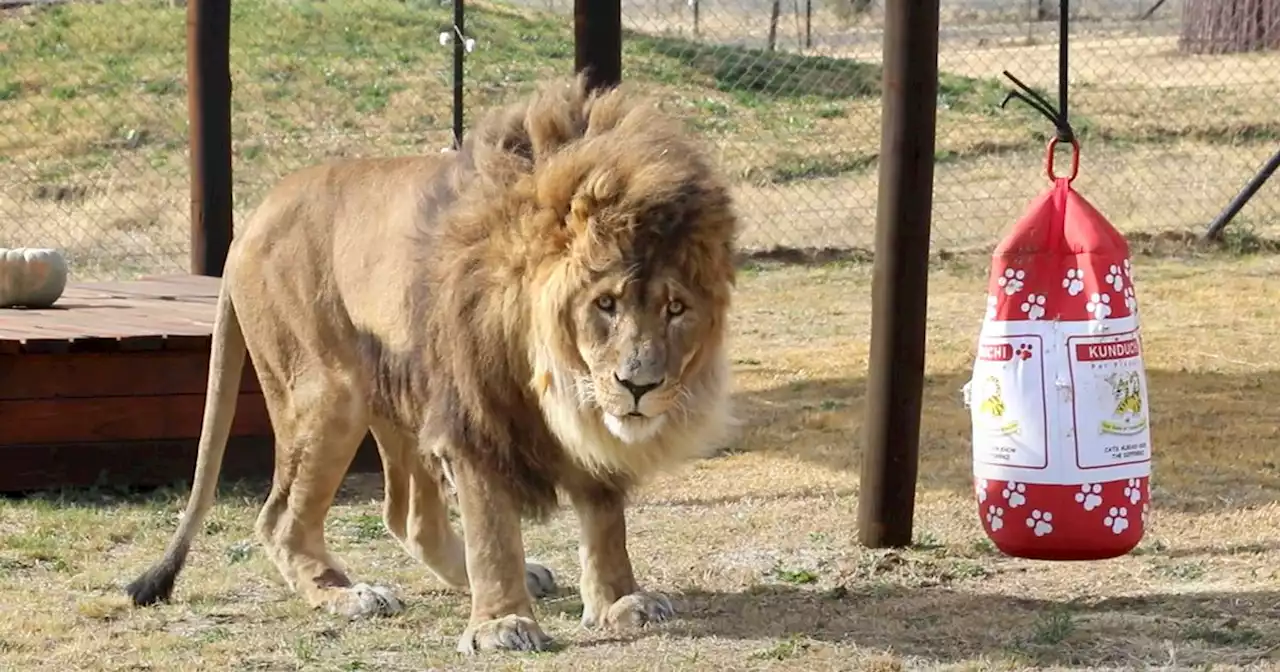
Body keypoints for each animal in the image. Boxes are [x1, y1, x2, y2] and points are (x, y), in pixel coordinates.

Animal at [122, 75, 742, 652]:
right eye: (606, 304)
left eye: (676, 309)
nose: (639, 386)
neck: (552, 371)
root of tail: (253, 218)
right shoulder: (473, 412)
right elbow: (492, 529)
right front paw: (501, 625)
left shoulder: (582, 421)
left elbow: (606, 516)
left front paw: (619, 601)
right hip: (327, 393)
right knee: (280, 519)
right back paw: (349, 594)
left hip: (401, 394)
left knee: (408, 514)